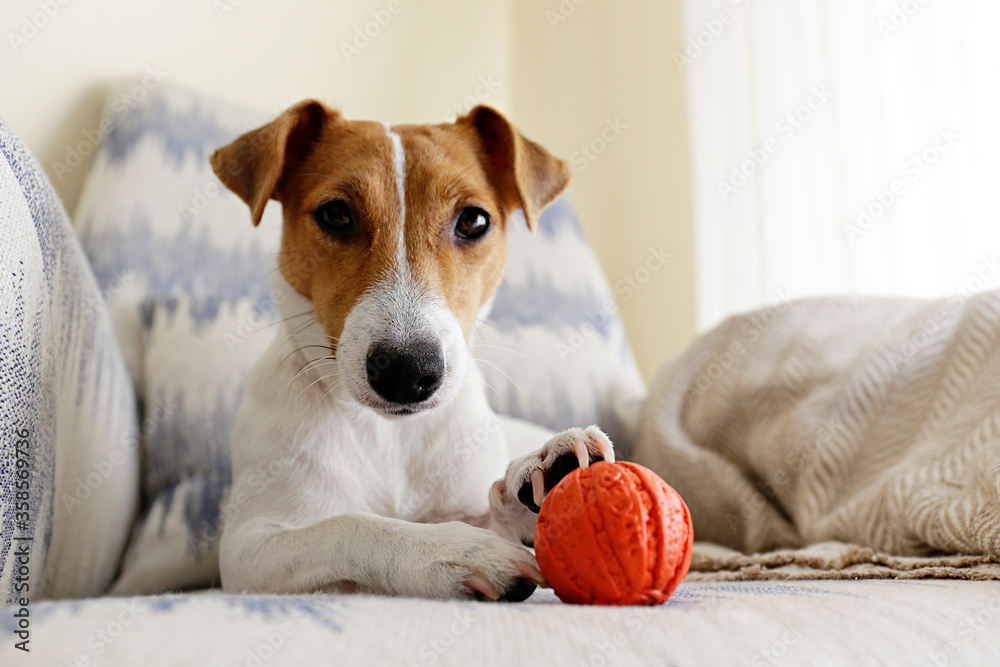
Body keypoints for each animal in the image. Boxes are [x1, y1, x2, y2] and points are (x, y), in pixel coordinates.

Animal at [212, 102, 616, 604]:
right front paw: (458, 550)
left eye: (473, 221)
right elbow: (350, 525)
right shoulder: (248, 548)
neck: (391, 435)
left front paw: (541, 477)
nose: (406, 370)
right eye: (335, 214)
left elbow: (490, 512)